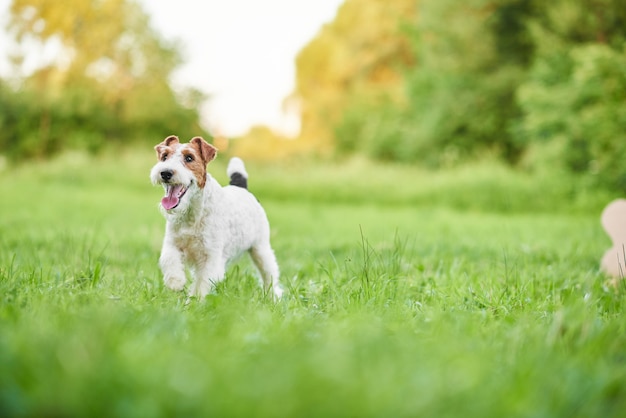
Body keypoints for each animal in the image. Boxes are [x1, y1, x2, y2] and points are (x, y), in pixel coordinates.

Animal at [150, 136, 282, 298]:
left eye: (189, 158)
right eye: (164, 156)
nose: (165, 173)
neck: (192, 214)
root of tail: (242, 188)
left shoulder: (211, 257)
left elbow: (201, 285)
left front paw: (194, 301)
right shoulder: (172, 244)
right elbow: (170, 260)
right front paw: (176, 283)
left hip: (260, 248)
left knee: (270, 274)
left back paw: (274, 296)